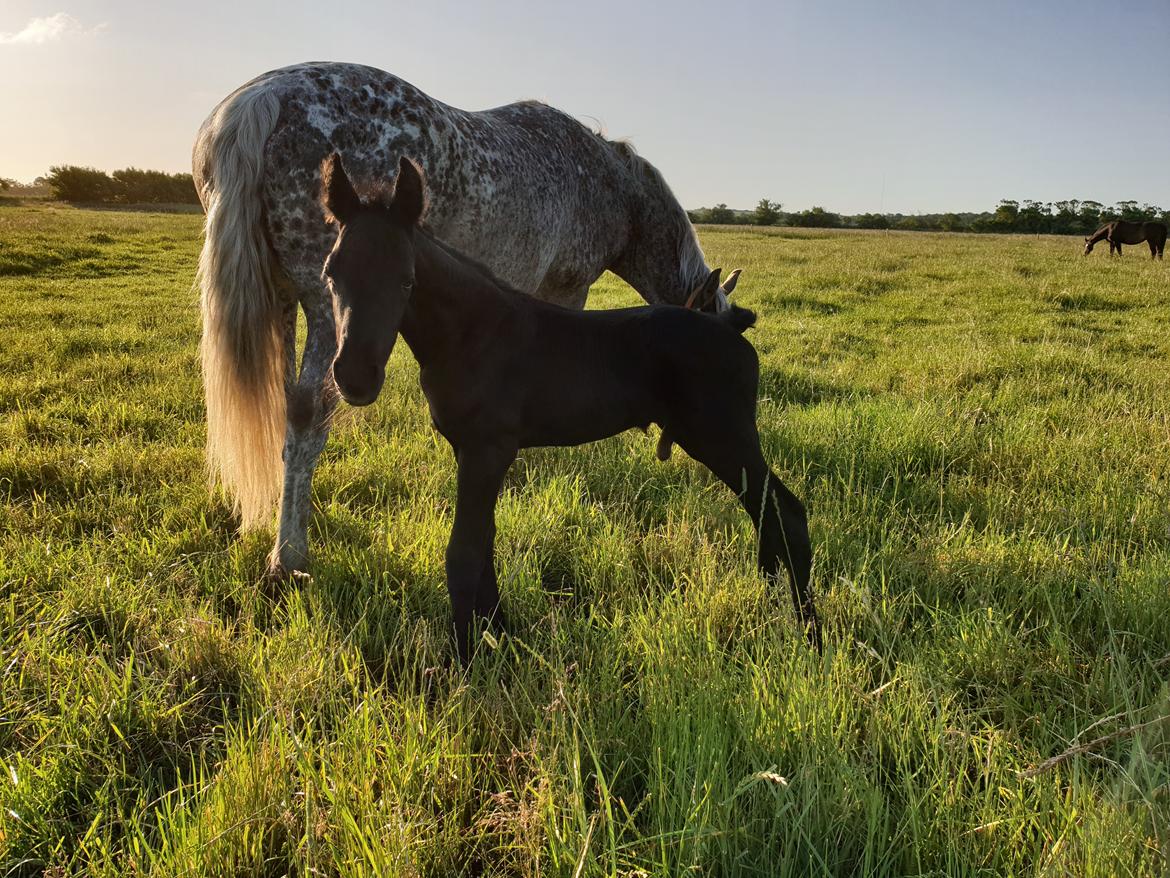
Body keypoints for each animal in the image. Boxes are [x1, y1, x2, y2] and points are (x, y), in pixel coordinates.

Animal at [191, 63, 739, 578]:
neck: (607, 183)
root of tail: (264, 98)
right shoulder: (567, 290)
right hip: (327, 315)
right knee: (310, 412)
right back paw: (289, 555)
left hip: (283, 303)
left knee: (283, 408)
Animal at [320, 154, 823, 664]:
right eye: (330, 273)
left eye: (407, 279)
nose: (354, 378)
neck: (472, 333)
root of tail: (732, 332)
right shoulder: (471, 452)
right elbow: (485, 540)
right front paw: (500, 635)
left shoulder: (488, 450)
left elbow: (463, 551)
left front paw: (464, 660)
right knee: (765, 514)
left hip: (722, 437)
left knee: (787, 514)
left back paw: (811, 637)